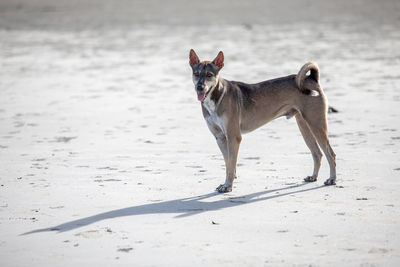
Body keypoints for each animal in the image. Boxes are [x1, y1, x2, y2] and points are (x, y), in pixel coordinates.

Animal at [189, 49, 336, 193]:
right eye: (196, 74)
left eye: (209, 75)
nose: (199, 87)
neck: (217, 95)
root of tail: (311, 78)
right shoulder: (220, 137)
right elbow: (228, 163)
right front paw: (228, 182)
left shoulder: (233, 137)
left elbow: (231, 164)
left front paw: (228, 186)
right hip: (304, 127)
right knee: (317, 153)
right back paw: (313, 177)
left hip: (317, 125)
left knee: (330, 154)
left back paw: (332, 179)